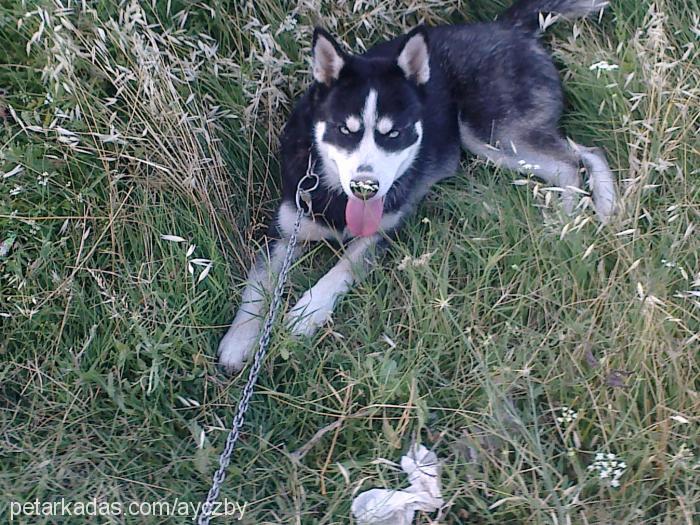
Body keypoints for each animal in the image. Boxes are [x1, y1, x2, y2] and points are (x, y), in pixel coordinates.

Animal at [217, 0, 612, 370]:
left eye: (394, 134)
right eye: (345, 130)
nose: (364, 187)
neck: (336, 196)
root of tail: (508, 26)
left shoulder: (382, 233)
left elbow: (341, 268)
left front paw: (307, 311)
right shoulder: (285, 230)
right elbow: (257, 285)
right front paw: (240, 340)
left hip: (491, 134)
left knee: (575, 161)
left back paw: (571, 218)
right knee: (581, 154)